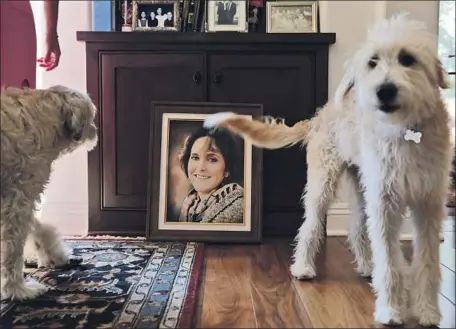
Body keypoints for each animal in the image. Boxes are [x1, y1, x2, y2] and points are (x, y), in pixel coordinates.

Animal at [0, 85, 97, 300]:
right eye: (92, 116)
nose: (95, 130)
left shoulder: (16, 194)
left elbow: (38, 227)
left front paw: (54, 253)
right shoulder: (18, 199)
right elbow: (11, 250)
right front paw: (16, 289)